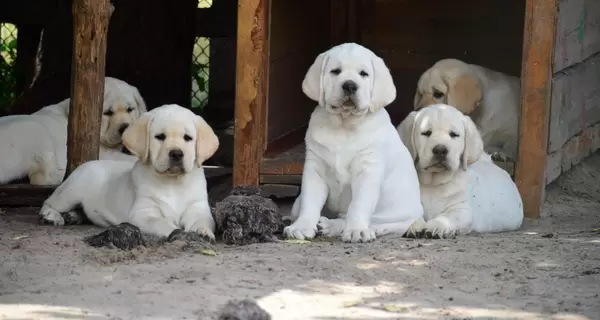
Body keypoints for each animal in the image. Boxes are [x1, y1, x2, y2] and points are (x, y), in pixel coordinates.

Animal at [0, 77, 146, 185]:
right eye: (108, 113)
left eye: (130, 109)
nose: (125, 127)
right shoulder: (103, 153)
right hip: (36, 130)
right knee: (41, 177)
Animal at [38, 104, 220, 241]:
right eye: (160, 137)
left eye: (188, 138)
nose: (176, 154)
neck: (172, 182)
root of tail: (87, 164)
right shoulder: (143, 213)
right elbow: (161, 223)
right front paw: (177, 232)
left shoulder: (198, 207)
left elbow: (203, 221)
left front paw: (203, 232)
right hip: (72, 192)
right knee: (49, 201)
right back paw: (51, 216)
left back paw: (73, 216)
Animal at [284, 42, 424, 242]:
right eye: (335, 71)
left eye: (363, 74)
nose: (350, 85)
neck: (344, 125)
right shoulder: (315, 168)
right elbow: (309, 201)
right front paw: (302, 226)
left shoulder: (368, 169)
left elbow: (358, 205)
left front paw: (357, 230)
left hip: (396, 219)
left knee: (368, 222)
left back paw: (331, 226)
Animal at [396, 104, 524, 239]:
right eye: (426, 133)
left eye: (454, 134)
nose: (440, 150)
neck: (434, 183)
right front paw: (414, 225)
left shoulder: (462, 210)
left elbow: (448, 217)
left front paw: (436, 226)